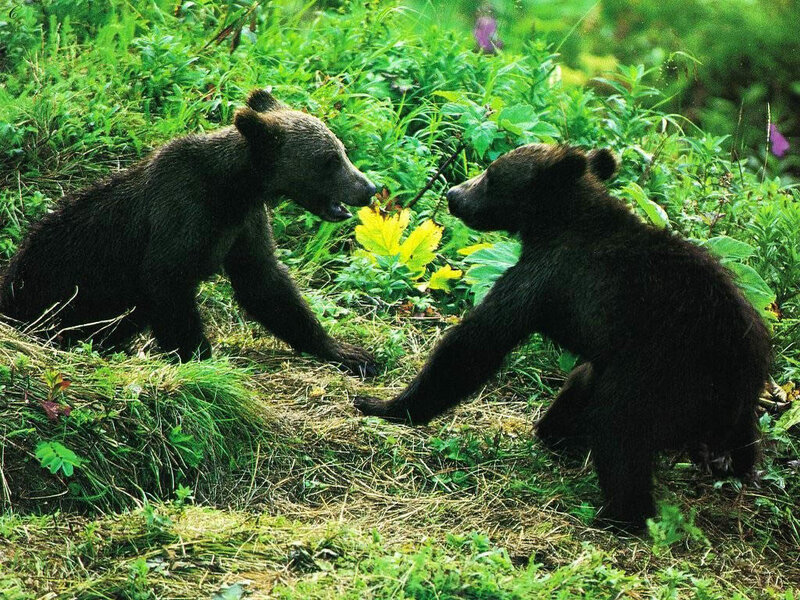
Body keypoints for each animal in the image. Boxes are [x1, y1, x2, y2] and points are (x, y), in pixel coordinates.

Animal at [0, 88, 378, 375]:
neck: (233, 190)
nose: (369, 188)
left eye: (341, 150)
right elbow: (169, 284)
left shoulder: (244, 226)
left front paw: (348, 352)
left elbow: (266, 284)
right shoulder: (180, 215)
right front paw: (201, 359)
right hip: (50, 289)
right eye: (329, 160)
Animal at [355, 143, 771, 529]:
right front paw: (555, 429)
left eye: (492, 175)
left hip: (666, 375)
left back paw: (619, 515)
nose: (454, 194)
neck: (555, 222)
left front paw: (384, 404)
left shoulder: (545, 276)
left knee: (619, 427)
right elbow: (574, 378)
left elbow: (476, 343)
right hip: (726, 397)